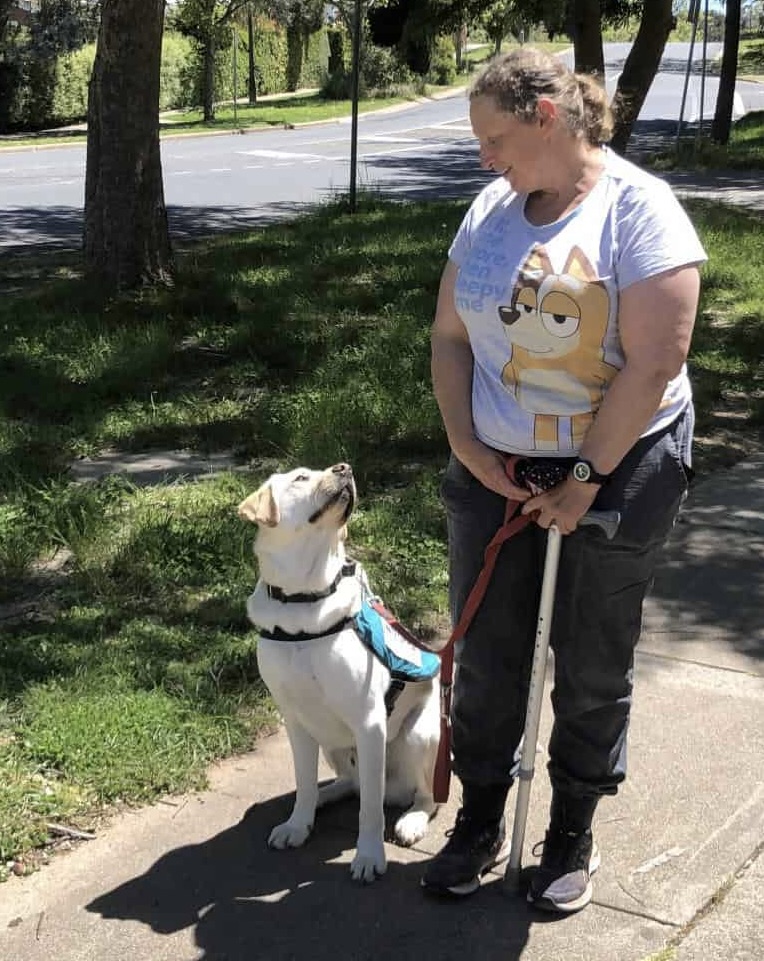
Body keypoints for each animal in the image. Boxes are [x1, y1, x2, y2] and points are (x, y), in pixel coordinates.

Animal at [239, 462, 442, 880]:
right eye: (301, 478)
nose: (344, 467)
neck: (304, 599)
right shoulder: (295, 719)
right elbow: (302, 781)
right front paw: (298, 823)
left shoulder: (369, 722)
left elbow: (370, 812)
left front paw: (369, 856)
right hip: (331, 743)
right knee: (353, 785)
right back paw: (326, 794)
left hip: (419, 736)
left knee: (419, 796)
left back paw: (411, 819)